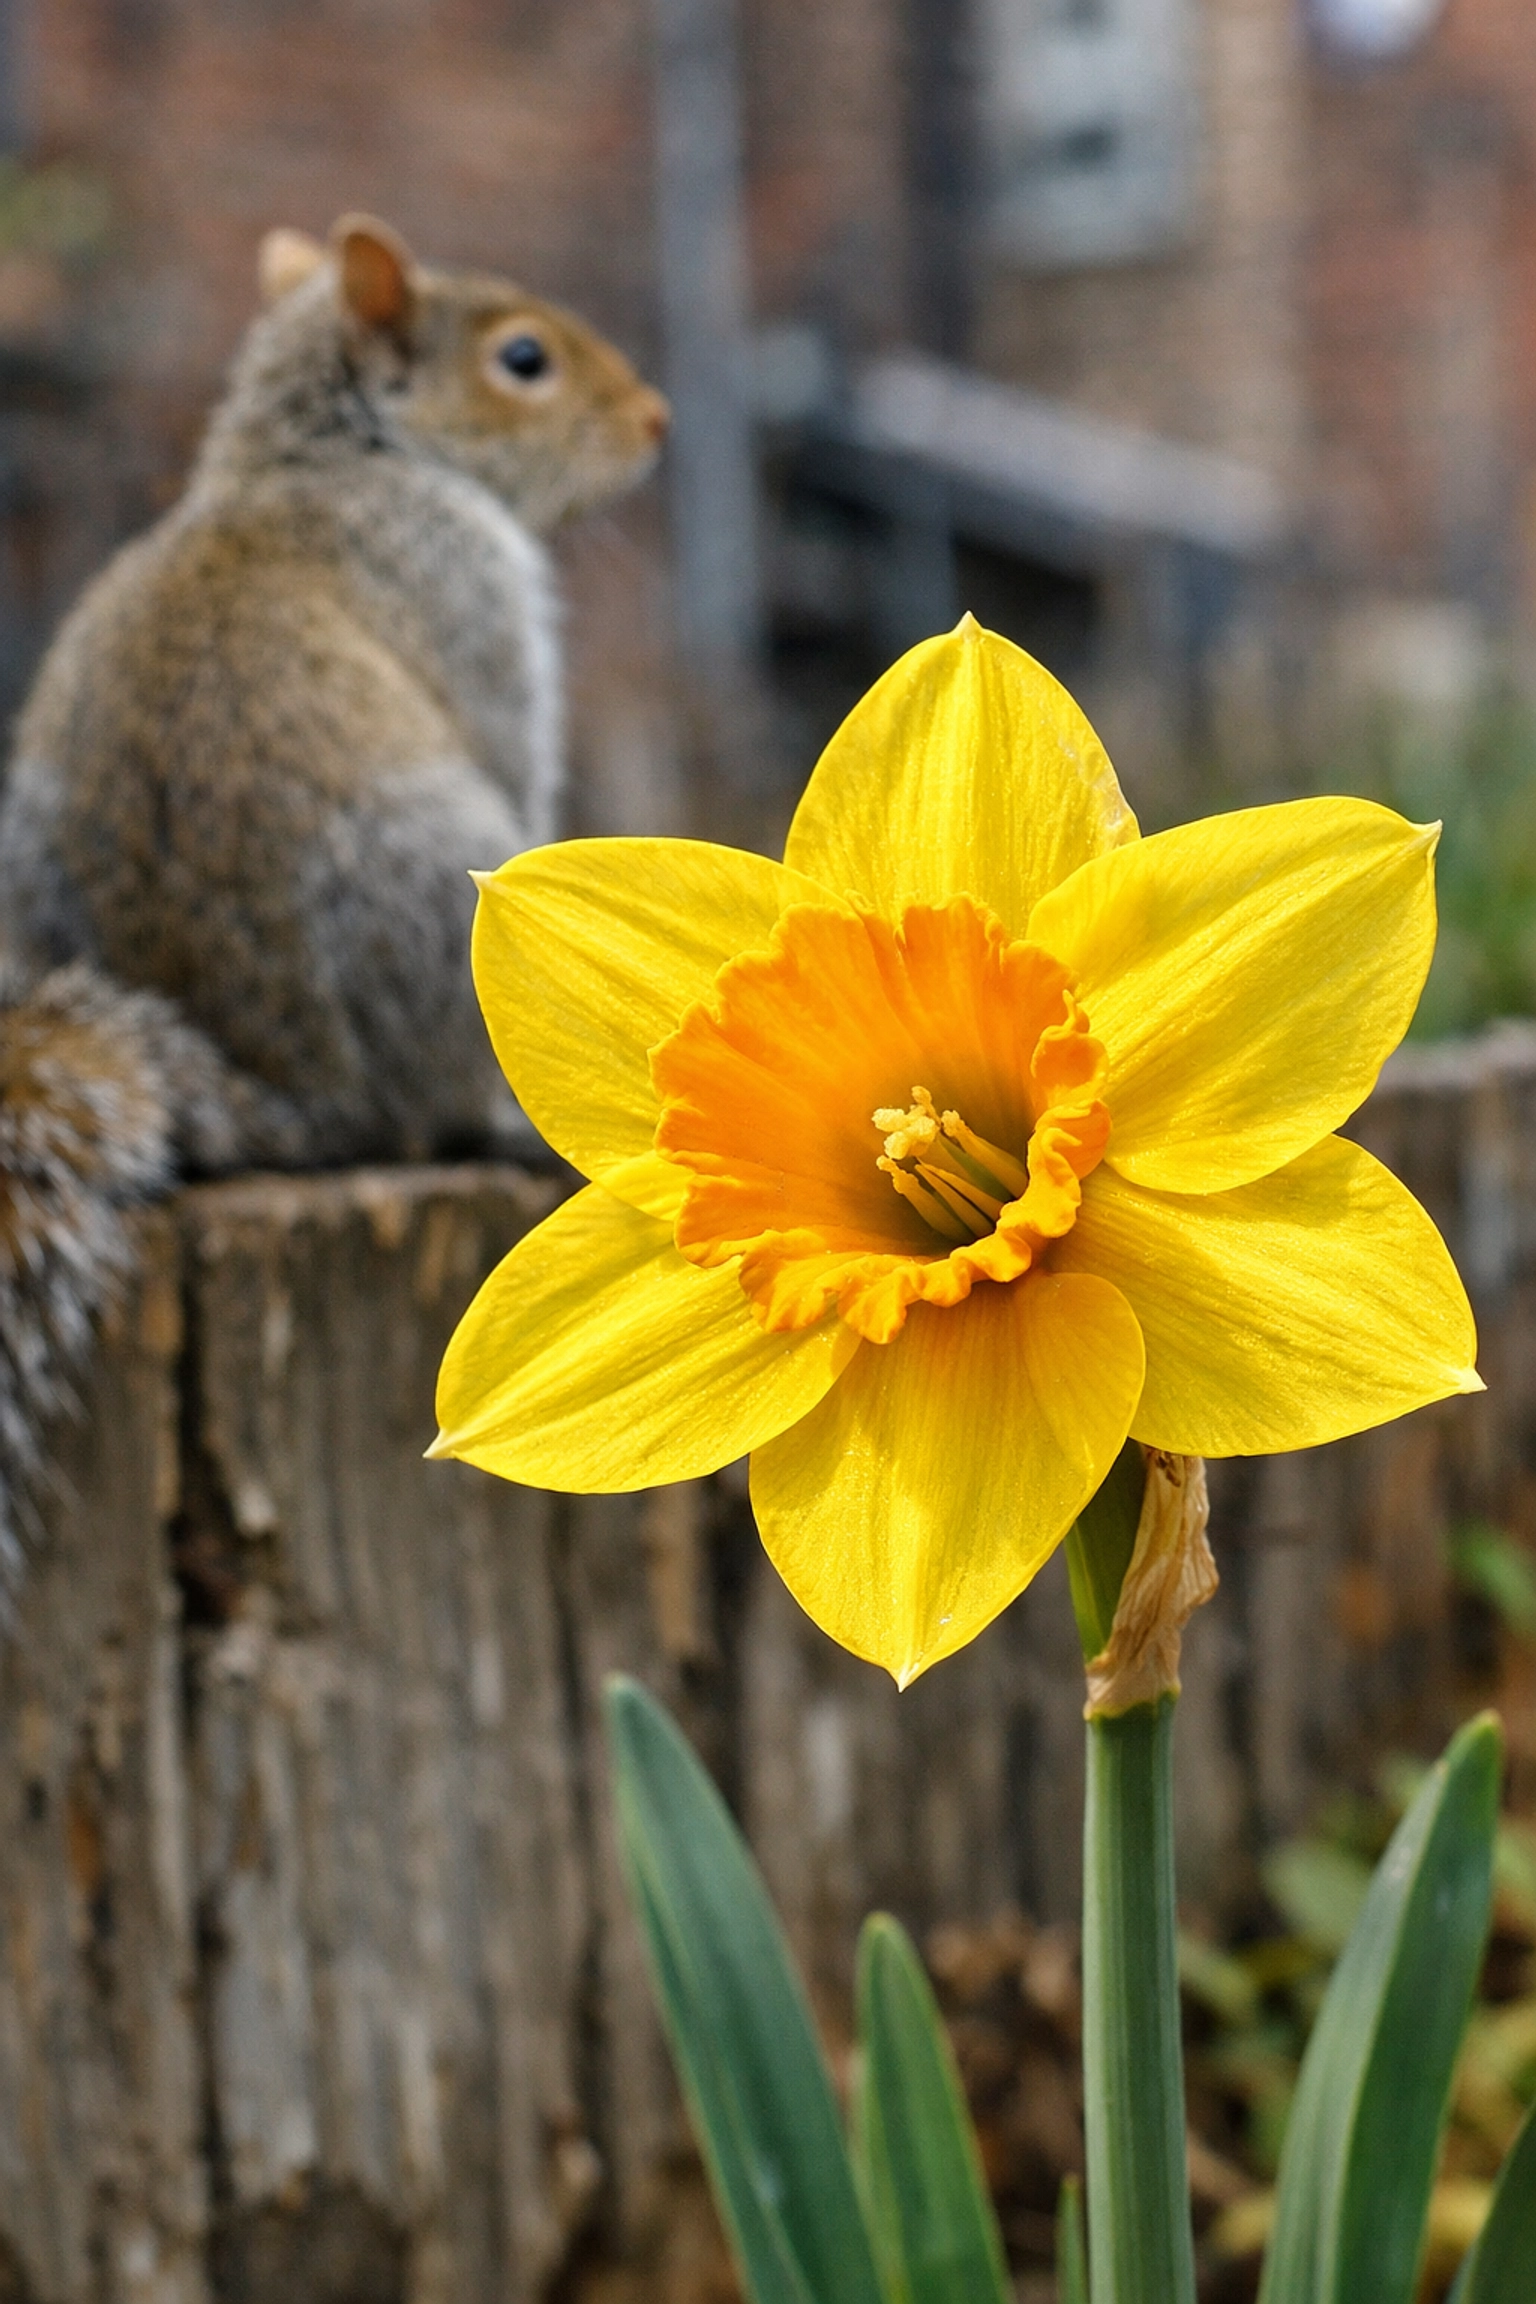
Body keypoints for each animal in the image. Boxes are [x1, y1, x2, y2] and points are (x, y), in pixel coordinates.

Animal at [0, 212, 669, 1572]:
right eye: (524, 360)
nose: (657, 418)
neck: (319, 461)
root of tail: (302, 1104)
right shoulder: (477, 598)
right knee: (440, 1119)